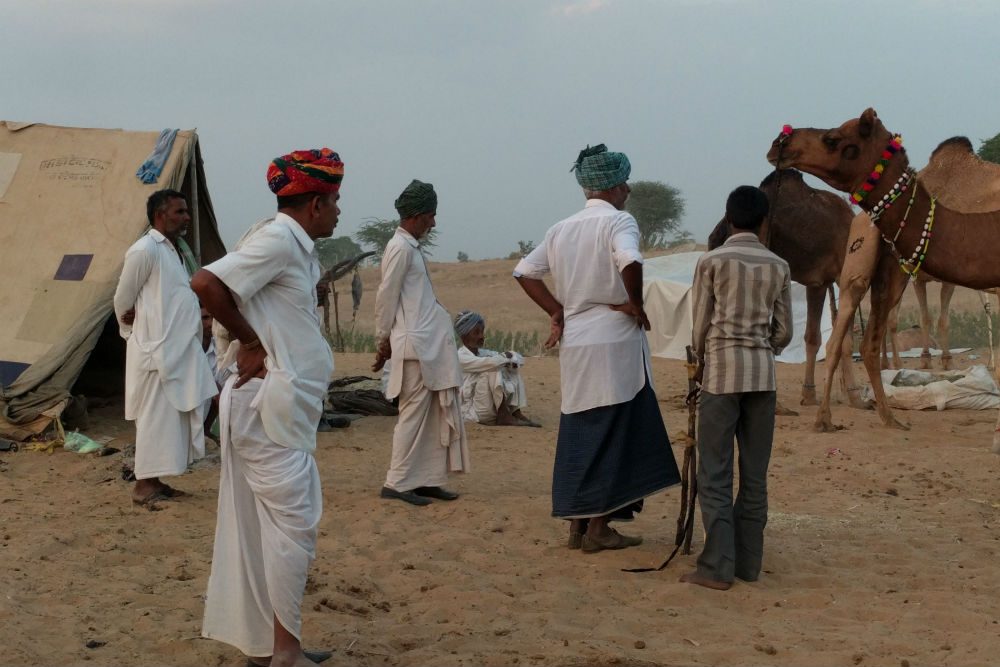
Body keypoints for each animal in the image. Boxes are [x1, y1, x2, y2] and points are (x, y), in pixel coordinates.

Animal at [704, 167, 860, 408]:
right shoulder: (838, 276)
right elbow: (843, 339)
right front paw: (855, 396)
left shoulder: (818, 281)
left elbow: (813, 337)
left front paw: (809, 394)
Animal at [768, 108, 1000, 438]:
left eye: (832, 139)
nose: (781, 141)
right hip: (865, 272)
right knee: (846, 339)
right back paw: (831, 415)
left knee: (865, 341)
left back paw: (882, 414)